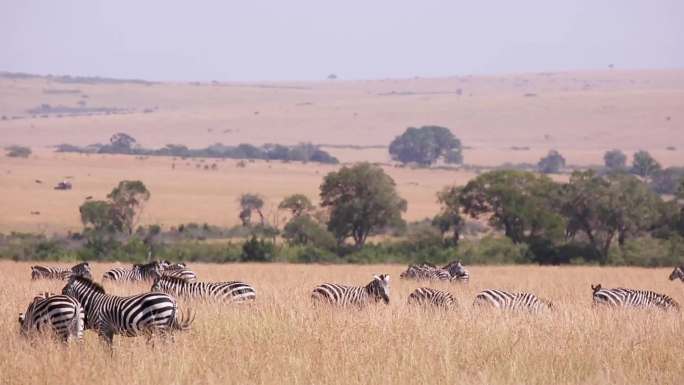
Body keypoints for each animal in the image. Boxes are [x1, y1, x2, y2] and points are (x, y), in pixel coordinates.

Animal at [60, 274, 192, 344]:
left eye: (64, 290)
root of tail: (171, 299)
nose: (62, 298)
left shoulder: (103, 328)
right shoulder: (108, 331)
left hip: (160, 325)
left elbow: (106, 349)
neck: (94, 302)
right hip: (168, 326)